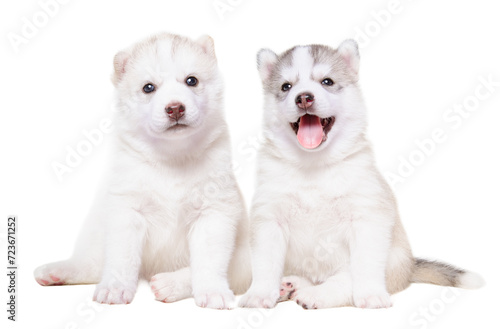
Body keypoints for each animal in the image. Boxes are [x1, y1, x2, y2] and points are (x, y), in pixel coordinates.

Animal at [34, 33, 250, 308]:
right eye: (148, 87)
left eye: (192, 80)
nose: (175, 107)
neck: (172, 159)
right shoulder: (126, 211)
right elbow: (121, 258)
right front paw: (115, 288)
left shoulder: (214, 212)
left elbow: (209, 262)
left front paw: (212, 291)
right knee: (93, 264)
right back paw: (59, 271)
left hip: (245, 257)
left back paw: (170, 283)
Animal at [239, 39, 484, 308]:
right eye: (286, 86)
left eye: (327, 81)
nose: (303, 98)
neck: (314, 165)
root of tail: (410, 267)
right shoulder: (269, 219)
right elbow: (265, 264)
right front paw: (260, 293)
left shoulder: (367, 218)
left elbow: (364, 268)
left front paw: (370, 294)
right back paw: (290, 286)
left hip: (388, 261)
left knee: (344, 280)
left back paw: (317, 294)